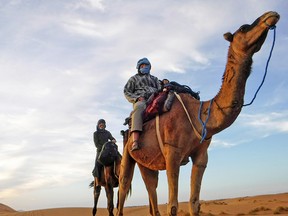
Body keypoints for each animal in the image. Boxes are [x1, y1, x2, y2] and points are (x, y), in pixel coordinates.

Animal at [116, 10, 280, 216]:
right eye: (243, 27)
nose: (271, 15)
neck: (199, 114)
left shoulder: (201, 156)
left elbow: (194, 203)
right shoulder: (172, 154)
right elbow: (173, 206)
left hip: (146, 163)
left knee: (151, 189)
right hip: (127, 152)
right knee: (123, 185)